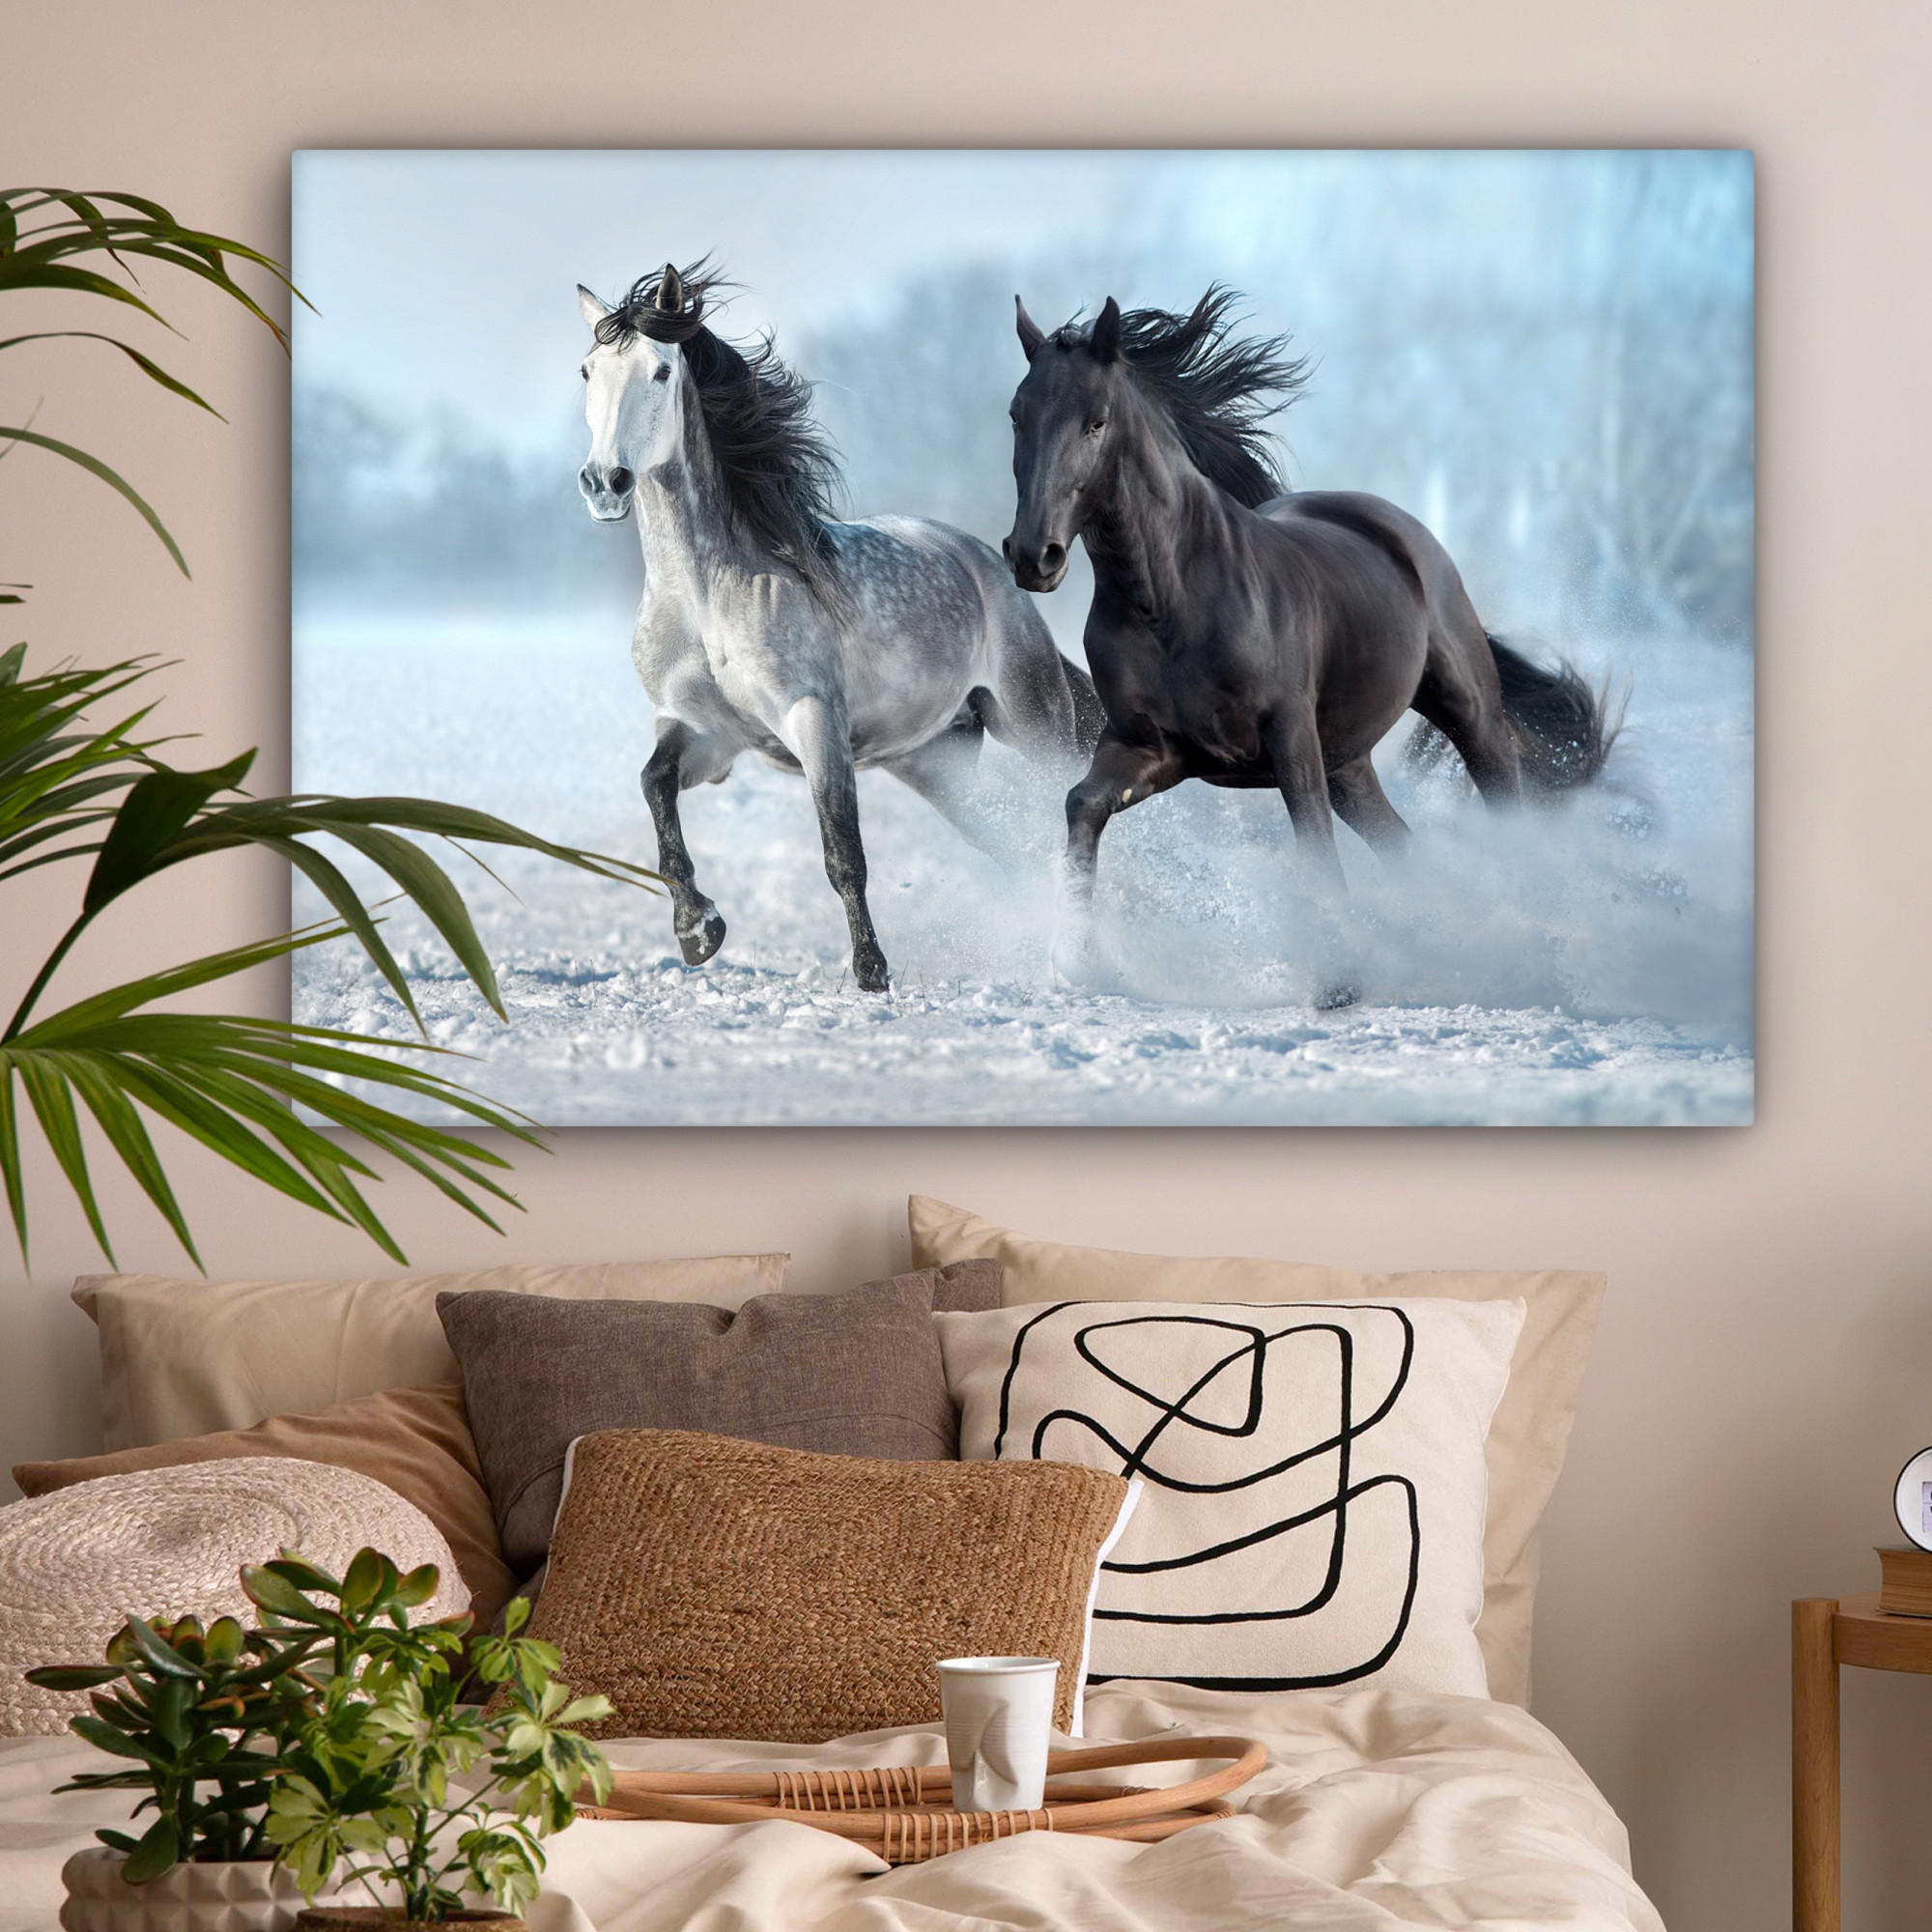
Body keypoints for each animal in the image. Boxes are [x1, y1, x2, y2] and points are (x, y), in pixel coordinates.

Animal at [577, 262, 1102, 993]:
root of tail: (986, 563)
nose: (606, 483)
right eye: (587, 370)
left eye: (659, 370)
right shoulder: (704, 733)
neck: (706, 596)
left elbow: (842, 852)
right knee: (1013, 845)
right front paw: (698, 930)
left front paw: (871, 972)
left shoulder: (814, 720)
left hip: (1034, 724)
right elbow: (654, 787)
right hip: (935, 762)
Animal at [1002, 285, 1617, 985]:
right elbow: (1082, 805)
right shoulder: (1150, 748)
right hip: (1349, 761)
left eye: (1096, 421)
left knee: (1503, 796)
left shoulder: (1289, 738)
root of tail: (1397, 527)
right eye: (1017, 415)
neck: (1172, 601)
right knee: (1401, 844)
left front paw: (1338, 981)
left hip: (1466, 711)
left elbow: (1314, 847)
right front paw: (1078, 958)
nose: (1034, 556)